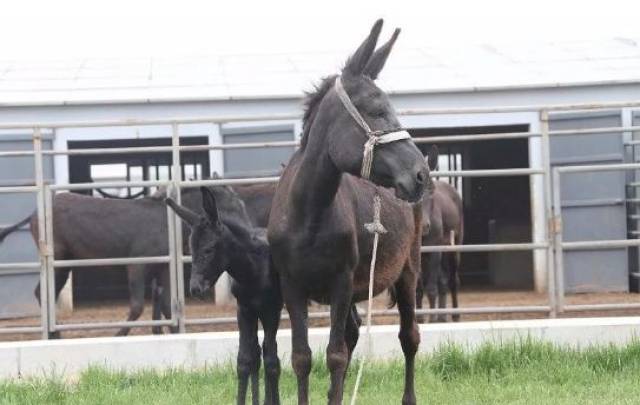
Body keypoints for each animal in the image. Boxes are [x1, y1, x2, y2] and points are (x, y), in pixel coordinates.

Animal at [166, 187, 282, 404]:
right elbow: (244, 360)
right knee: (257, 353)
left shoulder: (272, 310)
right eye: (190, 249)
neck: (254, 271)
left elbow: (272, 362)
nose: (195, 288)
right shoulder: (244, 310)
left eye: (209, 249)